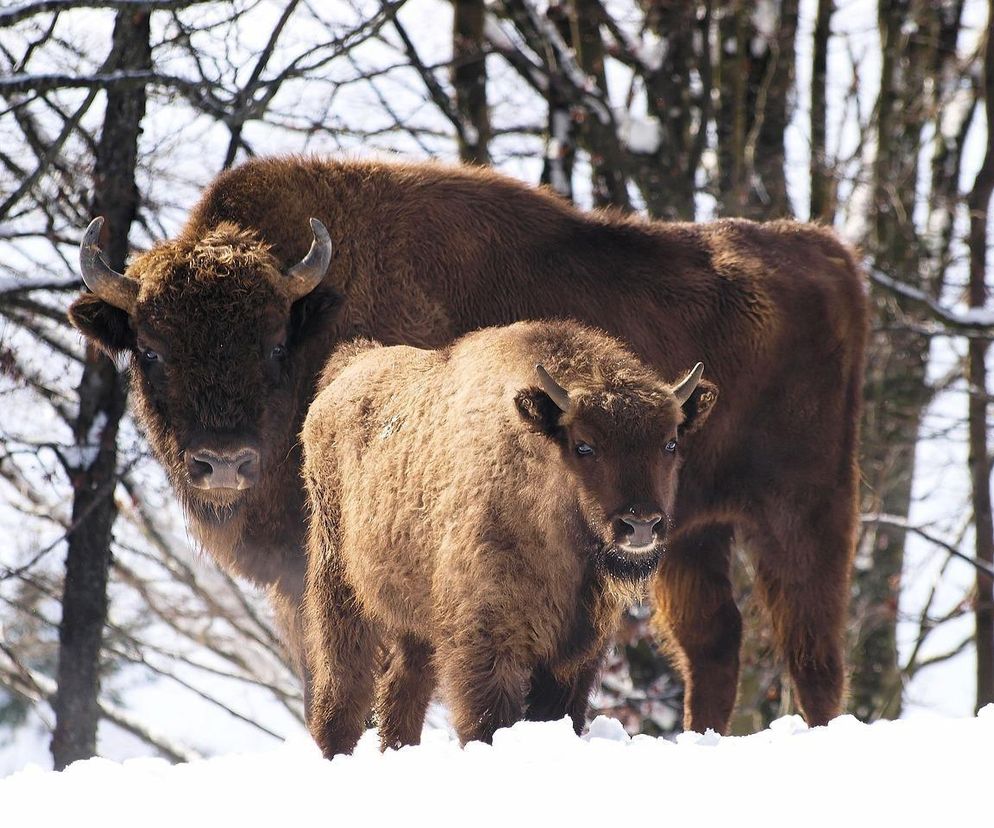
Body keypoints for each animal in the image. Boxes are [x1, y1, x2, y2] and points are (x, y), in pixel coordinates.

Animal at [300, 318, 712, 756]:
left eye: (670, 442)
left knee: (401, 691)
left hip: (414, 619)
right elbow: (487, 723)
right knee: (343, 685)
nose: (641, 524)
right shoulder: (487, 645)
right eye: (584, 445)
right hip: (338, 586)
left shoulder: (575, 656)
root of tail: (347, 370)